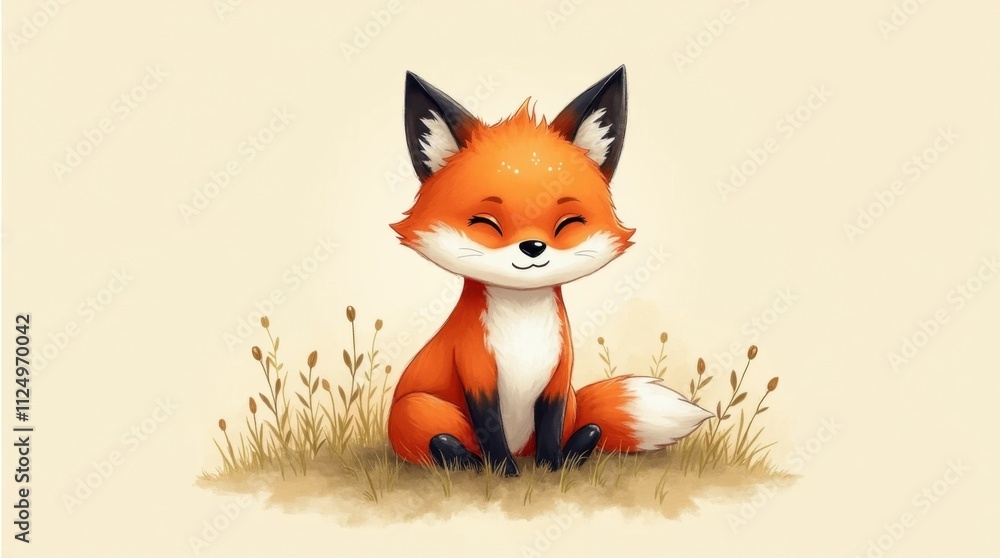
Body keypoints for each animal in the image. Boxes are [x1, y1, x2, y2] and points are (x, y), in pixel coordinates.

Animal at [387, 66, 712, 476]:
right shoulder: (476, 373)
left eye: (567, 223)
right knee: (441, 443)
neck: (522, 323)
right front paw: (503, 473)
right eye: (486, 223)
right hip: (421, 408)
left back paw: (576, 451)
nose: (532, 247)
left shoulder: (558, 377)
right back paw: (472, 464)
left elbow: (550, 426)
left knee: (587, 428)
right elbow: (490, 430)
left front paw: (551, 469)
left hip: (571, 404)